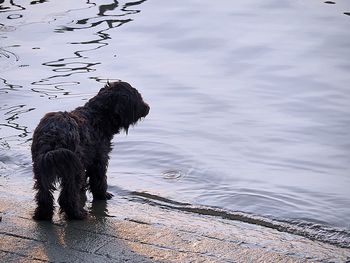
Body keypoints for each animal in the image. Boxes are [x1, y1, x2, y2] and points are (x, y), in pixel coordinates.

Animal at [31, 82, 149, 221]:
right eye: (137, 97)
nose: (148, 108)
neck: (99, 116)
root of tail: (52, 136)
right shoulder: (100, 158)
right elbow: (99, 179)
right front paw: (103, 195)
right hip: (72, 167)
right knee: (67, 195)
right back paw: (78, 214)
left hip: (41, 167)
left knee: (44, 193)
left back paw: (42, 215)